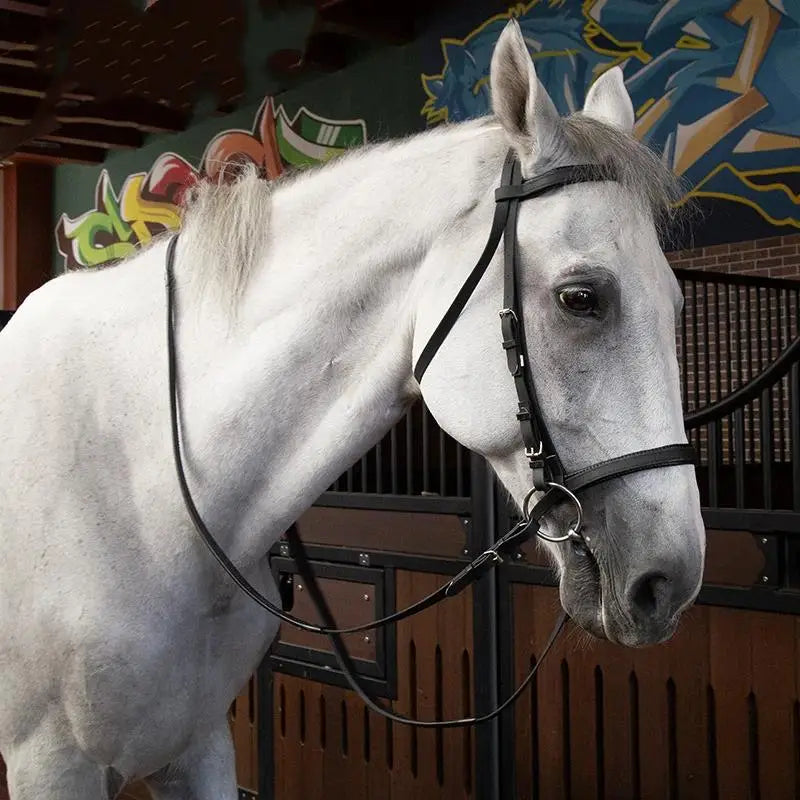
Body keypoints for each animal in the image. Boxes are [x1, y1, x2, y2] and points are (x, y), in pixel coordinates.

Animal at [0, 21, 704, 799]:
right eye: (582, 298)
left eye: (677, 305)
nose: (670, 582)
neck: (141, 487)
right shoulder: (52, 763)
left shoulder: (196, 745)